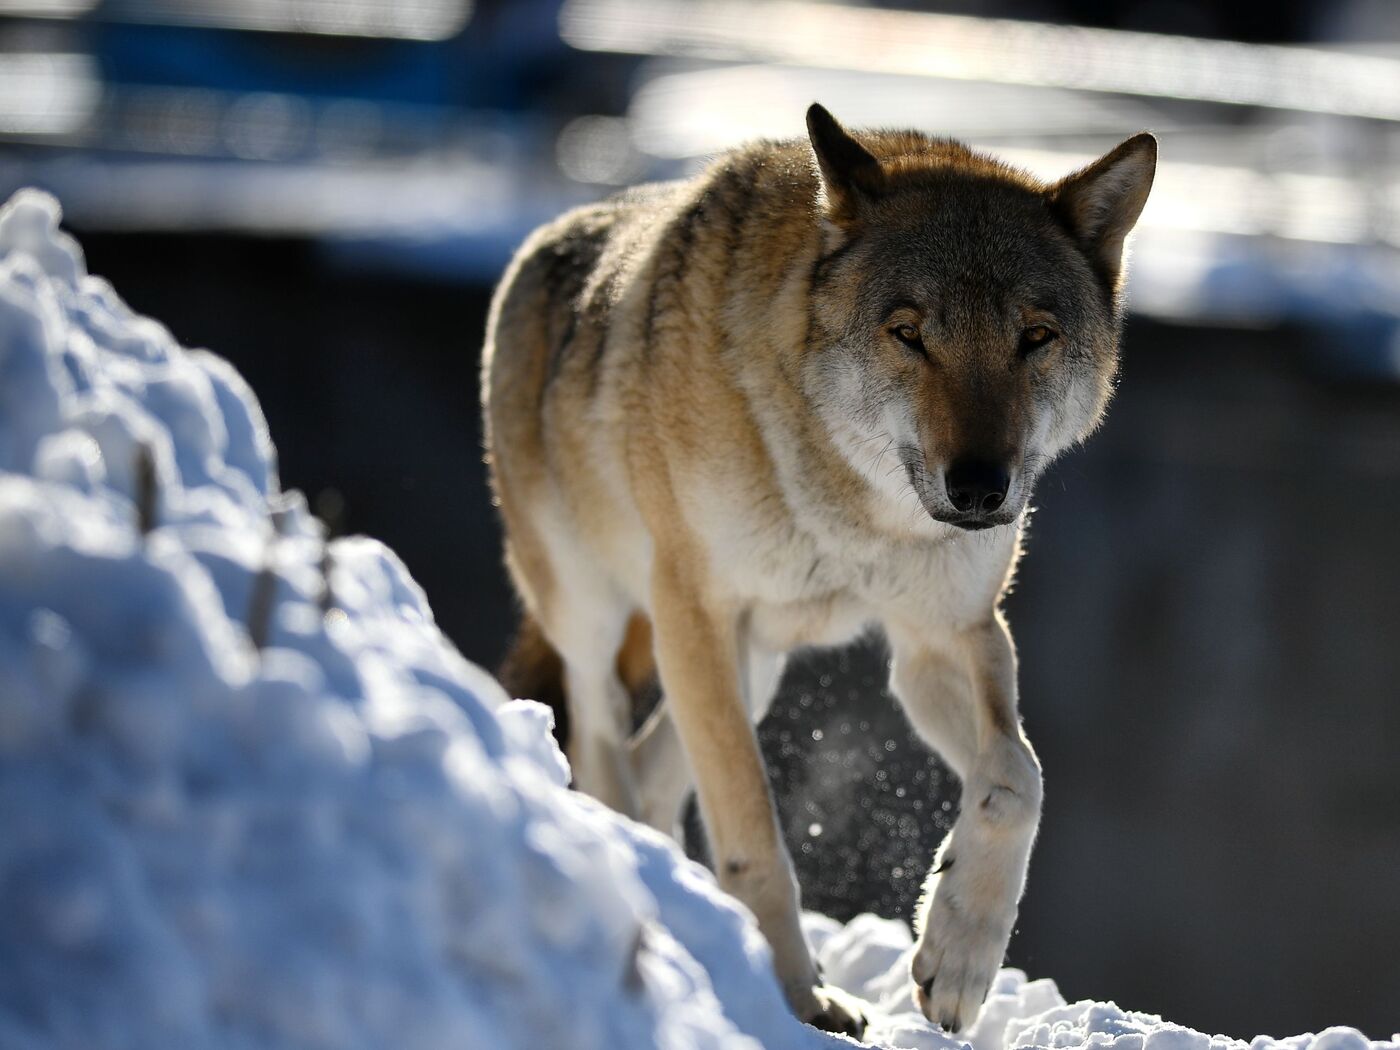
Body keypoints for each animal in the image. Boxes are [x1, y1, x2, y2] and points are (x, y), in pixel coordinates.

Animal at [476, 102, 1153, 1041]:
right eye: (908, 333)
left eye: (1035, 338)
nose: (981, 489)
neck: (851, 505)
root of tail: (540, 242)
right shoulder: (694, 610)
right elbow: (754, 835)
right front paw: (799, 1002)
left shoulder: (943, 635)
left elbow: (1017, 781)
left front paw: (957, 958)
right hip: (600, 617)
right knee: (603, 744)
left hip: (748, 668)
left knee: (652, 773)